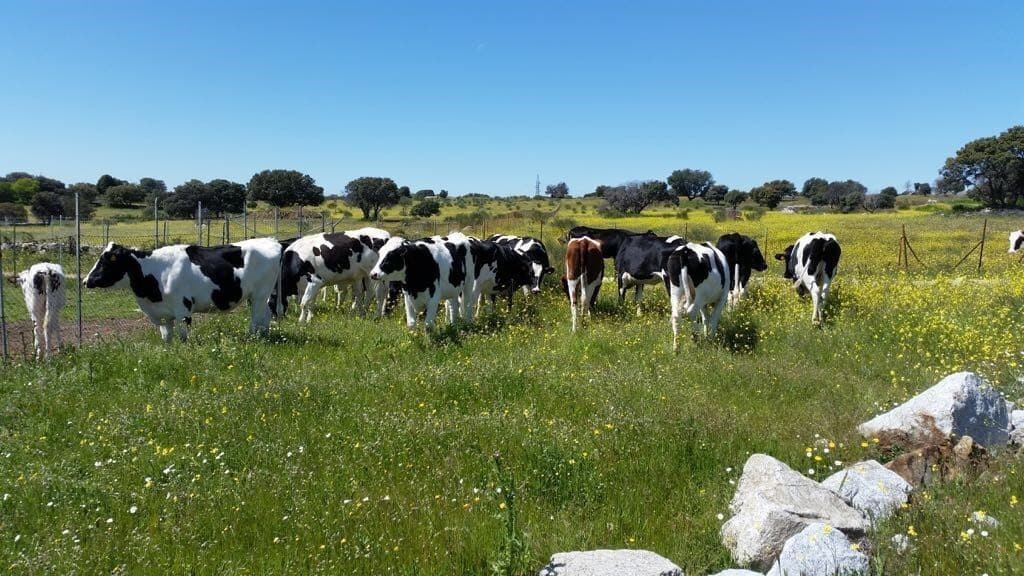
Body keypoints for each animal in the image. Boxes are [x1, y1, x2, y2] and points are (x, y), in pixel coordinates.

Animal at [83, 237, 282, 340]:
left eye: (107, 261)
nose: (85, 281)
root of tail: (272, 240)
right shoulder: (162, 314)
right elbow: (166, 338)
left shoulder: (183, 310)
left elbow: (183, 337)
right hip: (262, 295)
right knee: (267, 313)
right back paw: (264, 335)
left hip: (259, 293)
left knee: (256, 317)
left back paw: (252, 338)